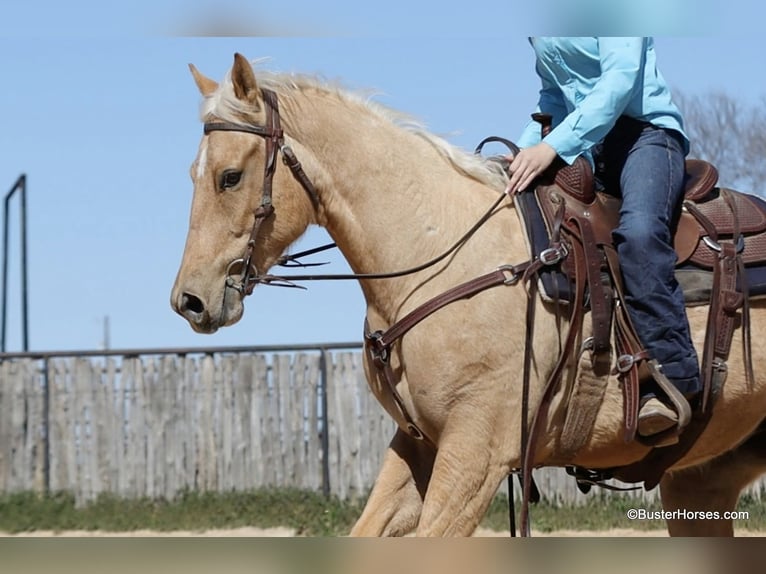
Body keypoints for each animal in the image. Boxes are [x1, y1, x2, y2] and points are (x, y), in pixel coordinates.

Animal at [171, 53, 766, 536]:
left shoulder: (477, 455)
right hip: (700, 483)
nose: (189, 300)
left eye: (229, 176)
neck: (443, 251)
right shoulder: (419, 444)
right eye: (193, 174)